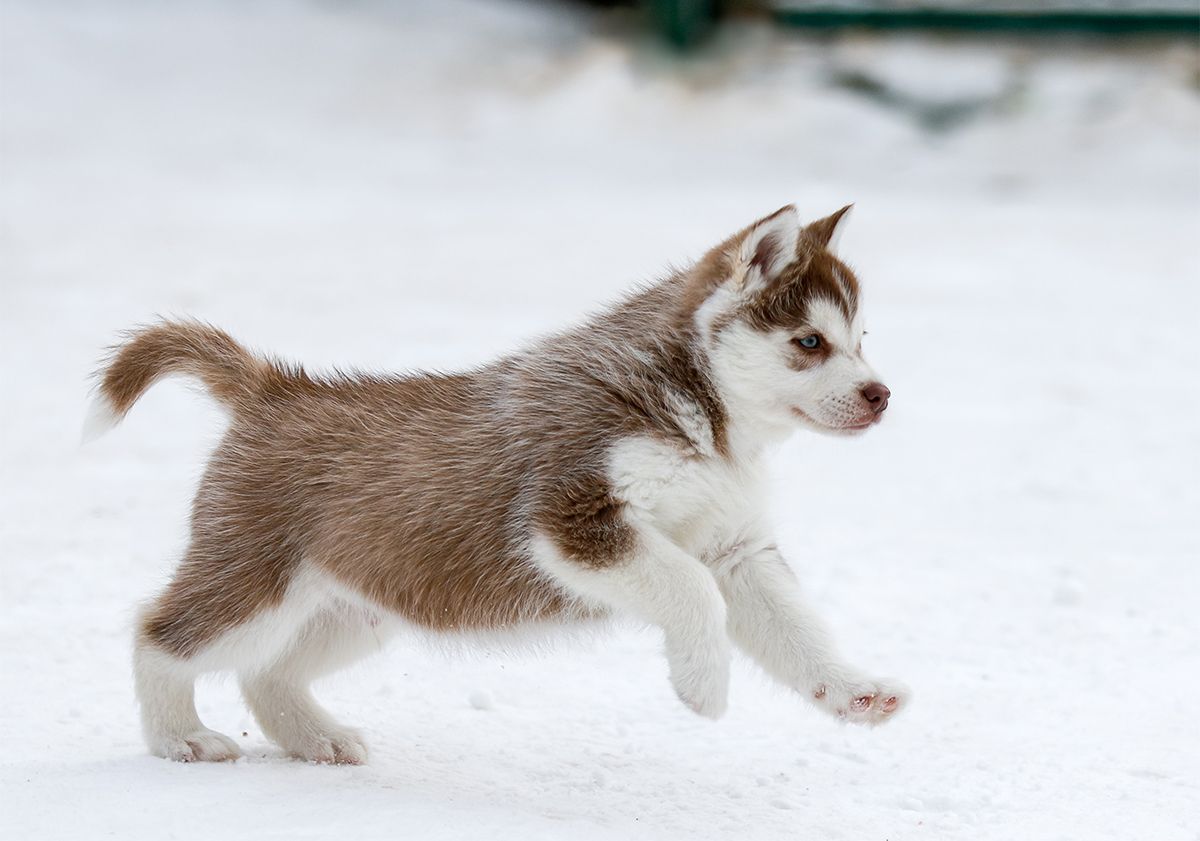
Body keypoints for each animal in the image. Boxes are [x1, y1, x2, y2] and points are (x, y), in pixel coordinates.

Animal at [88, 203, 902, 763]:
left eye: (862, 341)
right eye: (810, 342)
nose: (882, 395)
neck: (708, 418)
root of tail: (274, 387)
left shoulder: (736, 549)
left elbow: (793, 628)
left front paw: (852, 689)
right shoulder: (572, 516)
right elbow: (693, 591)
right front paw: (702, 686)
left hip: (359, 604)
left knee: (267, 674)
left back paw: (316, 738)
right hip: (259, 582)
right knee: (158, 633)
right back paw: (181, 737)